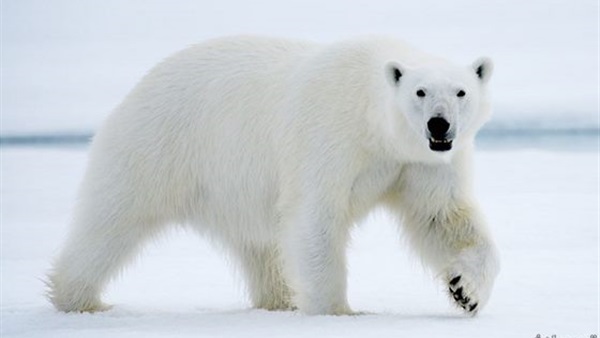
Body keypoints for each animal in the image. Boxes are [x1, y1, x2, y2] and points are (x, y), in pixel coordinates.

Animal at [47, 36, 500, 316]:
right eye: (420, 92)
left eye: (460, 91)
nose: (439, 125)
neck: (375, 124)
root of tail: (141, 84)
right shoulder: (330, 138)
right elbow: (315, 218)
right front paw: (338, 311)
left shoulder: (420, 162)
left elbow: (442, 217)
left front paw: (466, 291)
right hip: (160, 145)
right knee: (112, 220)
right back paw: (79, 299)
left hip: (235, 187)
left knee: (261, 246)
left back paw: (280, 299)